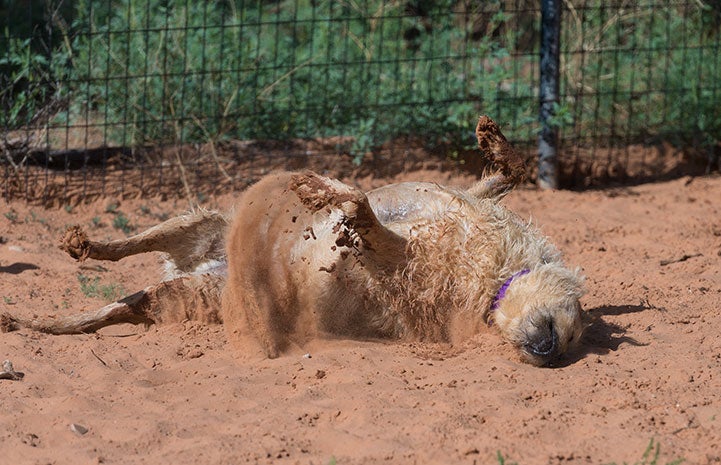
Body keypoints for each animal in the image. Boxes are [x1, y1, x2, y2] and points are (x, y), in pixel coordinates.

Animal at [1, 116, 584, 366]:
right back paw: (83, 247)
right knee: (123, 255)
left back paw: (32, 321)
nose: (549, 352)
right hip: (196, 224)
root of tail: (201, 271)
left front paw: (328, 194)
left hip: (181, 292)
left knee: (112, 309)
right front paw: (493, 138)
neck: (495, 281)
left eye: (572, 340)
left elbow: (361, 210)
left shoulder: (403, 262)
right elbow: (508, 170)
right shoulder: (460, 203)